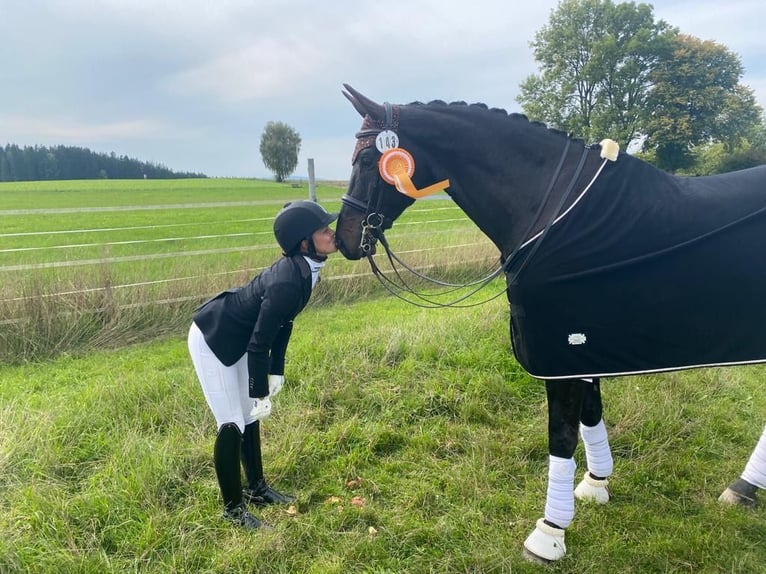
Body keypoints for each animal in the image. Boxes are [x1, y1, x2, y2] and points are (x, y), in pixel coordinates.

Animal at [340, 85, 766, 564]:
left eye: (365, 160)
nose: (343, 237)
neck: (554, 213)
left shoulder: (563, 353)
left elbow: (561, 437)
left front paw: (549, 532)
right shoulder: (581, 348)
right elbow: (591, 416)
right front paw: (596, 484)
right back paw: (744, 487)